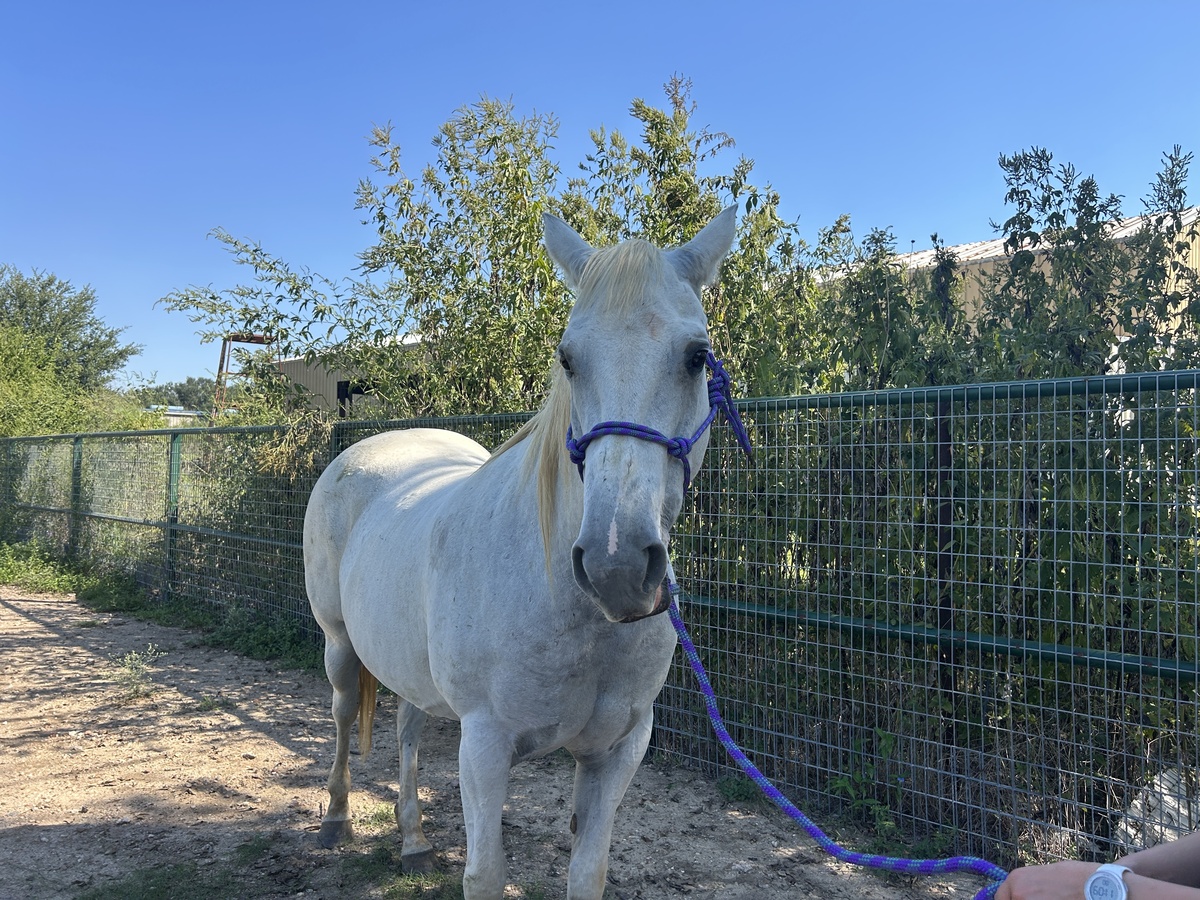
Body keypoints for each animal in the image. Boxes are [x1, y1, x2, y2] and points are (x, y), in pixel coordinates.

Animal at [302, 206, 737, 900]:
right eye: (567, 358)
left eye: (698, 358)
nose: (616, 567)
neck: (568, 607)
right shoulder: (485, 744)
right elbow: (485, 873)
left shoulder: (618, 750)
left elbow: (588, 872)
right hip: (339, 645)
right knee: (345, 718)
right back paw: (336, 819)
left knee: (408, 728)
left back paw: (414, 840)